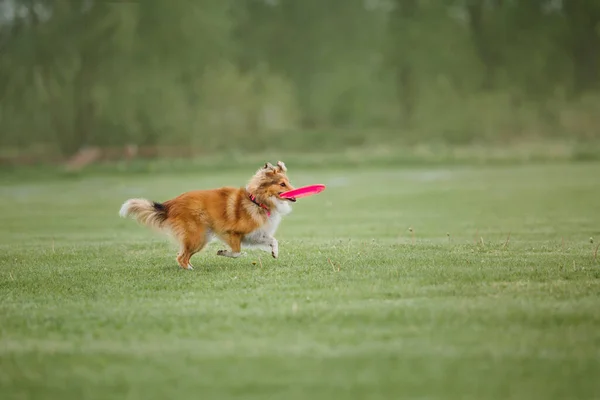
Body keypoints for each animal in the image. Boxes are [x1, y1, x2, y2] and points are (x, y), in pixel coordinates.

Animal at [117, 161, 296, 270]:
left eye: (287, 182)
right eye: (282, 184)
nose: (295, 194)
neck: (256, 201)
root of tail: (171, 204)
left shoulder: (255, 234)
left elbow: (273, 240)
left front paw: (274, 252)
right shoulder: (231, 233)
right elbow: (236, 252)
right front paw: (223, 252)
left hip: (201, 237)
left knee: (183, 255)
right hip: (199, 237)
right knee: (181, 257)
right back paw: (190, 269)